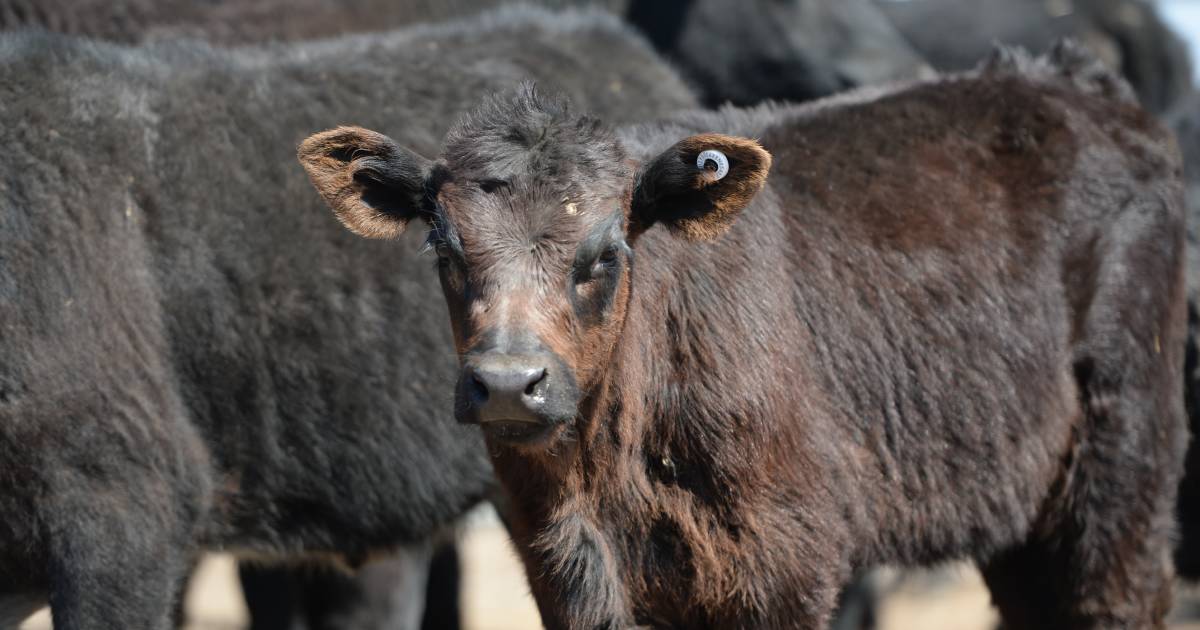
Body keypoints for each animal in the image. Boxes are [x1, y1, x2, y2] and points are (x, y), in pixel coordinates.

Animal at [302, 41, 1190, 624]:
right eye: (444, 246)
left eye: (607, 252)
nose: (509, 383)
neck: (610, 470)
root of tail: (1068, 76)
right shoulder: (564, 565)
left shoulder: (787, 561)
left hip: (1123, 465)